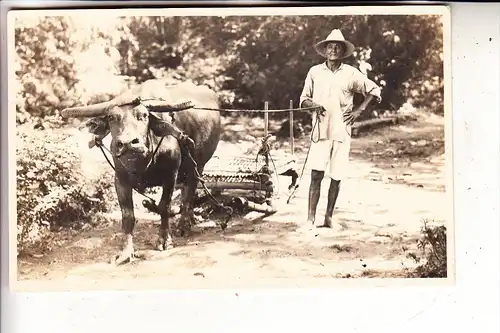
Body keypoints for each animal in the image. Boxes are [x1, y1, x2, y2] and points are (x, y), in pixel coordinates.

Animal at [60, 79, 221, 264]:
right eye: (111, 117)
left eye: (144, 116)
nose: (128, 143)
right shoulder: (120, 179)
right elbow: (128, 216)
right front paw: (125, 251)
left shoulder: (170, 175)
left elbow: (164, 206)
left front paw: (164, 240)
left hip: (198, 166)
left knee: (189, 193)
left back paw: (184, 224)